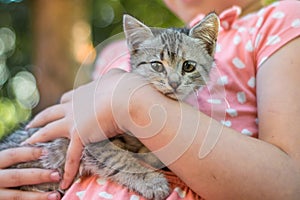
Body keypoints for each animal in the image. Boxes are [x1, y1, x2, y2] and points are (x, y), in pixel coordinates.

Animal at [0, 13, 220, 199]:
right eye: (157, 65)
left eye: (188, 66)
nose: (174, 83)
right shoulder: (88, 142)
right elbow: (119, 159)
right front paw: (151, 181)